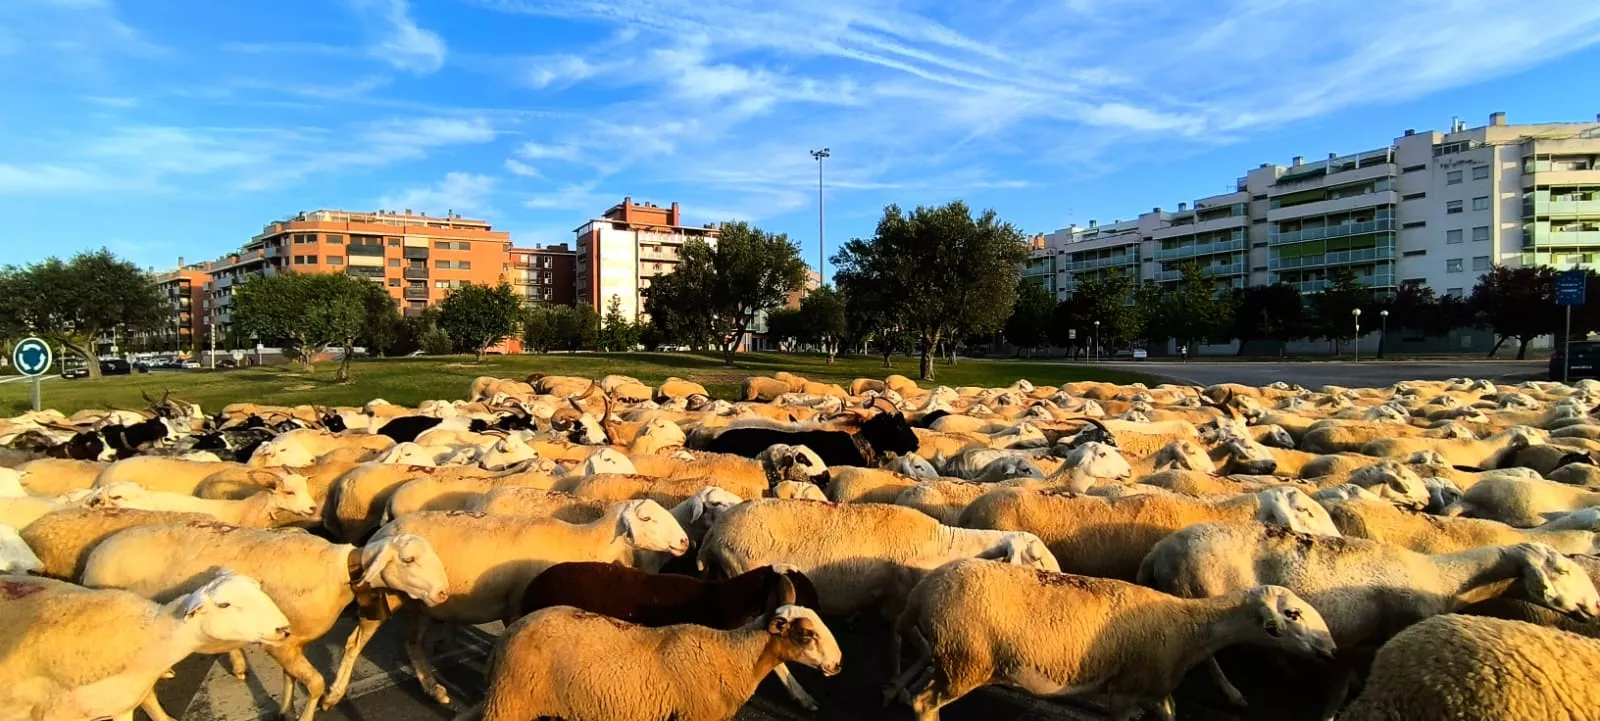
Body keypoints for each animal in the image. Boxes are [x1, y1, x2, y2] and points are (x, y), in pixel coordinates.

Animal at [81, 522, 450, 721]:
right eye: (408, 559)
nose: (444, 592)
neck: (336, 574)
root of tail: (94, 557)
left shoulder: (290, 641)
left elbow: (291, 679)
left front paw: (285, 709)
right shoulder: (281, 644)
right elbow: (315, 684)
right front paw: (307, 714)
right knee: (141, 694)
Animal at [373, 500, 691, 704]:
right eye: (647, 519)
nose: (685, 542)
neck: (583, 542)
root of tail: (381, 533)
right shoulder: (519, 604)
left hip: (422, 604)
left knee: (413, 644)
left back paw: (434, 686)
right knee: (413, 644)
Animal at [475, 604, 842, 721]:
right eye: (807, 635)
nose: (838, 664)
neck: (732, 655)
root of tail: (506, 637)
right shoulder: (696, 716)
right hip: (509, 703)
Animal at [890, 560, 1335, 721]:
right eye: (1292, 614)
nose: (1331, 651)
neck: (1190, 628)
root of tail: (923, 591)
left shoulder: (1156, 688)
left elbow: (1170, 714)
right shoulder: (1124, 693)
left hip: (948, 655)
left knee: (915, 693)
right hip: (966, 661)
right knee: (924, 703)